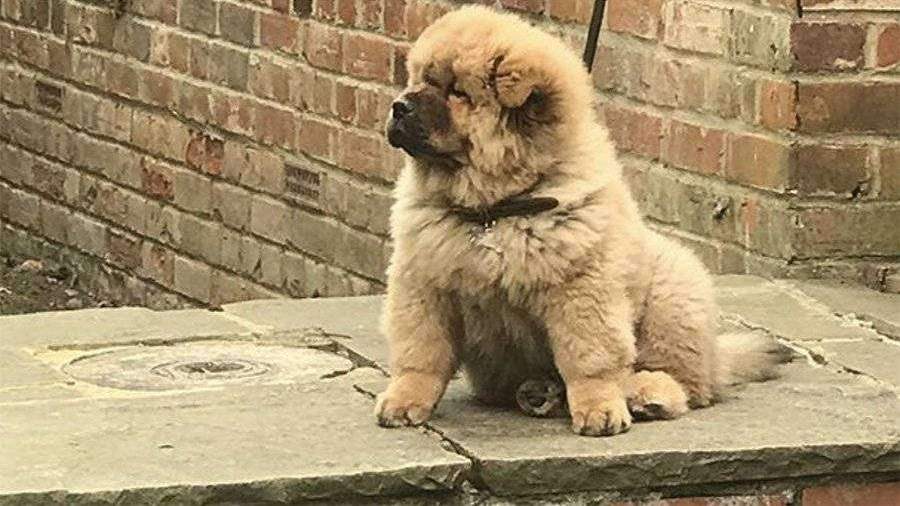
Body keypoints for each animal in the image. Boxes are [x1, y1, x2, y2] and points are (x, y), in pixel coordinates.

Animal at [375, 6, 784, 436]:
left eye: (458, 93)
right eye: (420, 80)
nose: (399, 106)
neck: (495, 208)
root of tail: (717, 359)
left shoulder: (581, 285)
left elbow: (590, 357)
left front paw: (599, 409)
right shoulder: (424, 282)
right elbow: (420, 352)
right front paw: (403, 401)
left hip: (673, 293)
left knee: (685, 383)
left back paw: (645, 393)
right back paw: (540, 392)